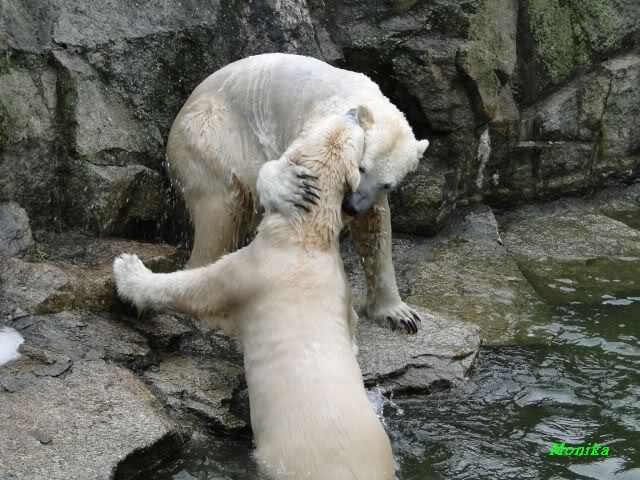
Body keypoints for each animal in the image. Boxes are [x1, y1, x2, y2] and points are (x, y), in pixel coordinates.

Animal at [114, 110, 395, 480]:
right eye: (337, 121)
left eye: (354, 132)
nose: (354, 112)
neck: (303, 236)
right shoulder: (339, 285)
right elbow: (350, 322)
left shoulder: (252, 271)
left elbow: (199, 289)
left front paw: (128, 270)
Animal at [166, 53, 429, 333]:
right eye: (361, 167)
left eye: (387, 184)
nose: (351, 206)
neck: (361, 102)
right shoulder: (321, 124)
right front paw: (294, 188)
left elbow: (375, 228)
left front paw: (400, 314)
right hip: (210, 136)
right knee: (220, 210)